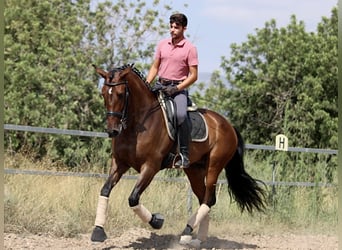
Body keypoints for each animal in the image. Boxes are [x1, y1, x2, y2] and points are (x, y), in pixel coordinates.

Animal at [89, 63, 266, 247]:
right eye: (103, 93)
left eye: (120, 94)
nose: (112, 131)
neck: (137, 124)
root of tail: (227, 124)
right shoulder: (119, 163)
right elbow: (105, 190)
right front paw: (98, 232)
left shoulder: (150, 166)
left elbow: (133, 198)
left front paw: (157, 221)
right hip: (194, 170)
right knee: (204, 198)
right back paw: (197, 239)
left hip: (214, 166)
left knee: (209, 199)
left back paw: (187, 233)